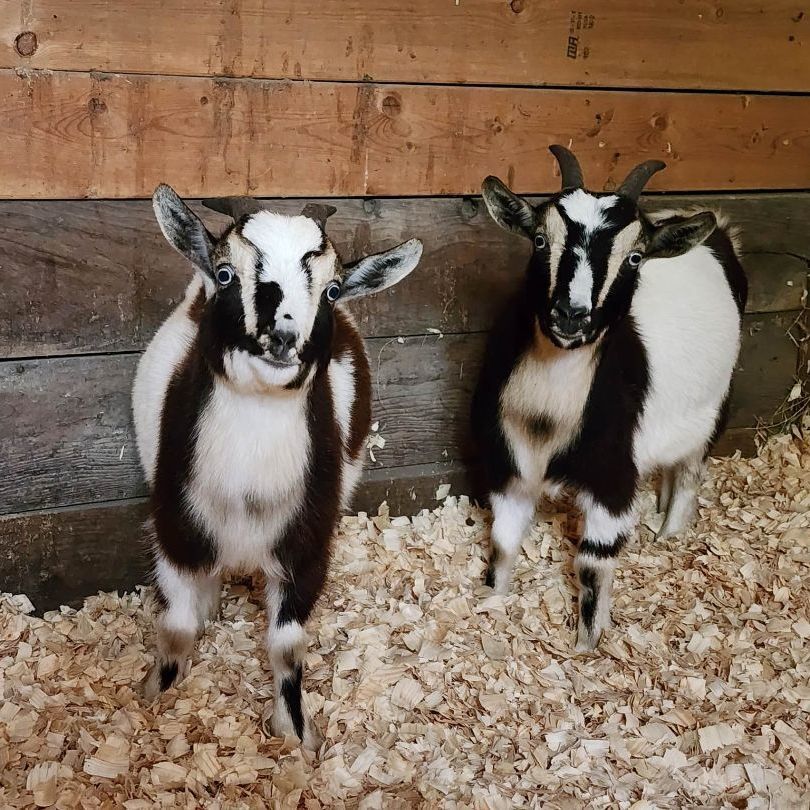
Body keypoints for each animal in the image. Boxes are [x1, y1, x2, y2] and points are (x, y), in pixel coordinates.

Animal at [132, 187, 423, 748]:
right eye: (227, 273)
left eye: (332, 289)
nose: (283, 338)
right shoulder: (175, 531)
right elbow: (176, 626)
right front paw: (153, 695)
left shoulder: (307, 546)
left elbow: (287, 645)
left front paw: (297, 734)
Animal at [472, 146, 747, 651]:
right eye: (539, 240)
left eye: (634, 257)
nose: (570, 315)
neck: (547, 418)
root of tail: (716, 227)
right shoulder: (509, 465)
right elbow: (503, 543)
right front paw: (492, 605)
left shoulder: (613, 479)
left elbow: (593, 563)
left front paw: (586, 648)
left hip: (714, 407)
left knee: (690, 472)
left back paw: (669, 535)